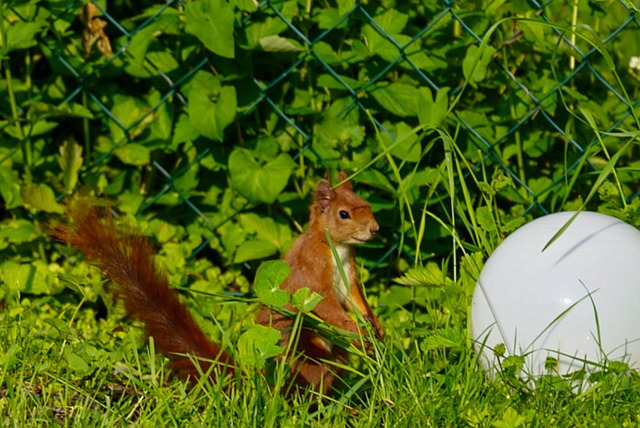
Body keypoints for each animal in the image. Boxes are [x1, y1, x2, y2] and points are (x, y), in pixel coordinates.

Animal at [49, 172, 384, 394]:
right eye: (344, 214)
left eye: (367, 204)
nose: (375, 229)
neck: (337, 247)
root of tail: (252, 378)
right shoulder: (312, 275)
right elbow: (327, 306)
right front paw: (358, 331)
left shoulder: (349, 275)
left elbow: (356, 299)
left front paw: (374, 326)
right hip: (302, 356)